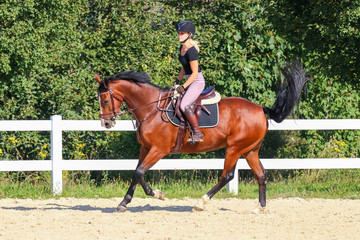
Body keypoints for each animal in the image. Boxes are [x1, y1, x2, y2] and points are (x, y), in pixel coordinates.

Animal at [95, 60, 306, 212]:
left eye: (104, 100)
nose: (106, 123)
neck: (151, 108)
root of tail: (261, 108)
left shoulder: (159, 149)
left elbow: (139, 173)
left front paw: (158, 194)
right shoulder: (145, 148)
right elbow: (135, 173)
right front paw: (123, 203)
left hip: (234, 148)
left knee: (227, 175)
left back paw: (201, 203)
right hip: (250, 150)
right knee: (260, 174)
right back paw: (260, 208)